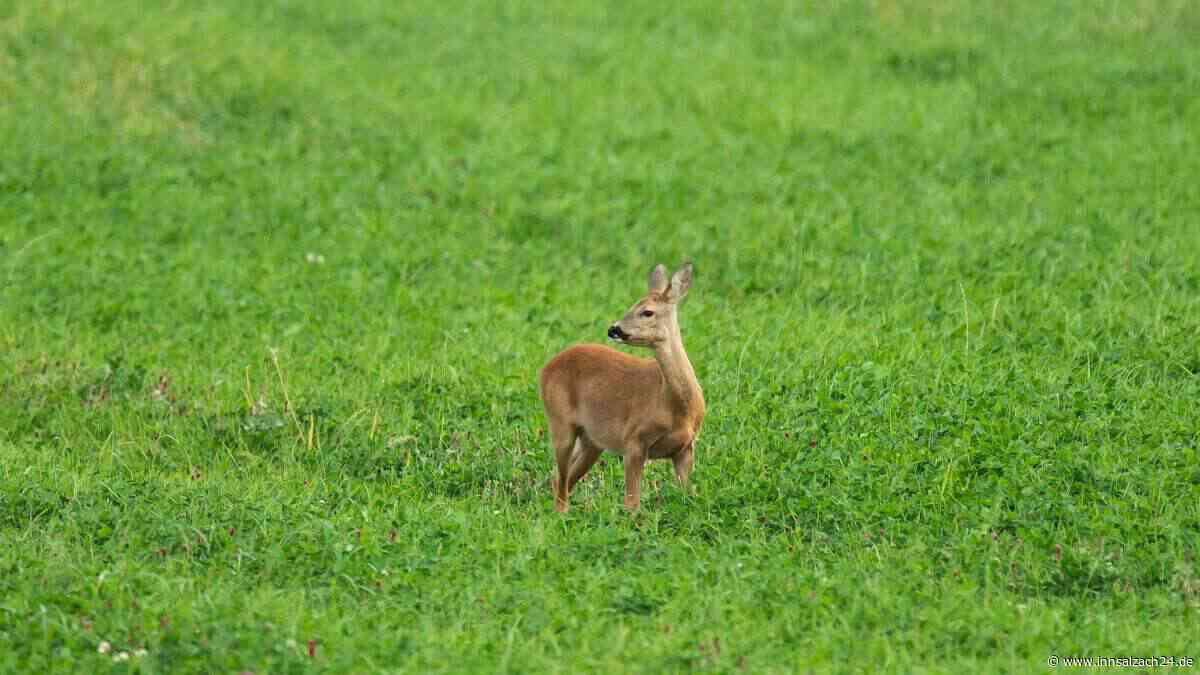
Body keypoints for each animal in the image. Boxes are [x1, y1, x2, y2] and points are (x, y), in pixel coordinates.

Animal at [538, 262, 705, 512]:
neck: (676, 406)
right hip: (560, 421)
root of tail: (546, 368)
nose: (613, 329)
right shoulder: (634, 440)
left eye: (647, 311)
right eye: (631, 305)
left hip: (591, 440)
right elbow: (632, 503)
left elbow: (689, 495)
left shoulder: (685, 448)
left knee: (560, 478)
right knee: (560, 480)